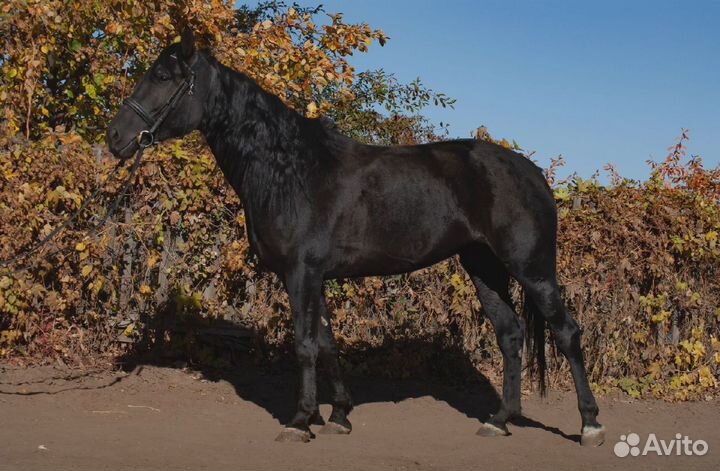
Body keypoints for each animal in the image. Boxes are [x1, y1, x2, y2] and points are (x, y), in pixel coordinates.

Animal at [107, 29, 605, 446]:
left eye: (162, 76)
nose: (115, 137)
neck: (289, 169)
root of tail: (533, 174)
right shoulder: (315, 277)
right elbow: (326, 343)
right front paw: (339, 415)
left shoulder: (300, 274)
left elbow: (305, 345)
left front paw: (300, 421)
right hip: (483, 268)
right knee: (511, 335)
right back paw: (499, 420)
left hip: (532, 269)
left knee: (567, 332)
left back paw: (590, 426)